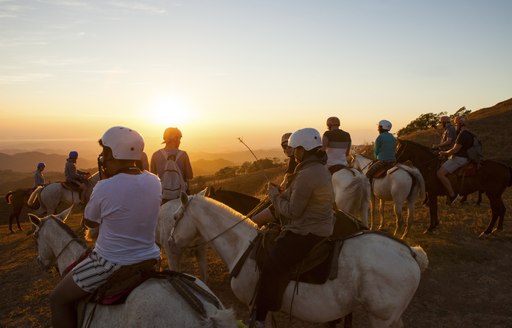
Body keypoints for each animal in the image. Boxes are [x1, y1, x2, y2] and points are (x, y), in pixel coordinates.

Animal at [171, 191, 428, 326]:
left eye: (175, 217)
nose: (171, 240)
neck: (242, 246)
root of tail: (410, 252)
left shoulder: (255, 304)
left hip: (381, 319)